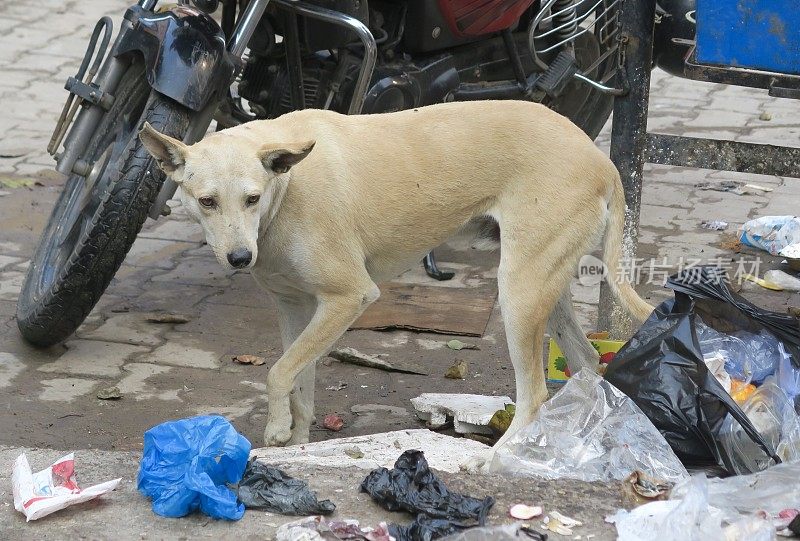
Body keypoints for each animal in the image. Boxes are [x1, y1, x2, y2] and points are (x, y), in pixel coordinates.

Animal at [139, 100, 648, 468]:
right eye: (206, 201)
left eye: (252, 198)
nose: (240, 258)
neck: (286, 187)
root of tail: (601, 160)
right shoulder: (294, 307)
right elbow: (299, 381)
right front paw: (298, 441)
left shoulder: (347, 298)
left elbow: (278, 372)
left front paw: (278, 429)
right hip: (547, 283)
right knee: (587, 361)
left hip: (519, 290)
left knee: (536, 393)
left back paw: (499, 459)